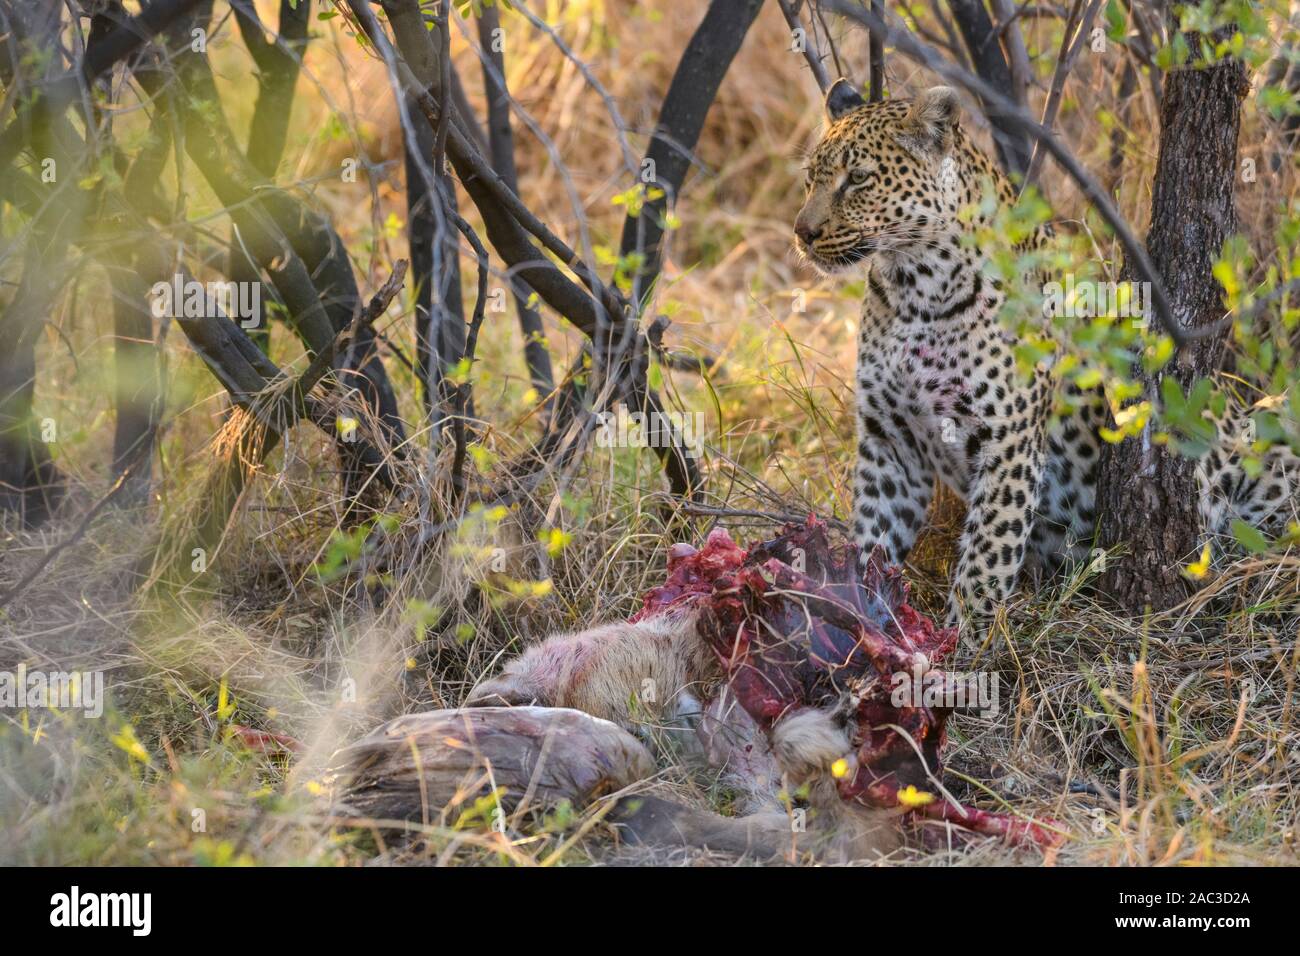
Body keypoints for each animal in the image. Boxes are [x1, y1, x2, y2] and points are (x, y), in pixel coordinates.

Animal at [795, 78, 1294, 624]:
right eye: (811, 178)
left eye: (859, 178)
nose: (802, 233)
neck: (912, 290)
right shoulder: (891, 441)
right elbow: (870, 542)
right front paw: (858, 621)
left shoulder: (1007, 442)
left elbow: (984, 563)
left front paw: (963, 642)